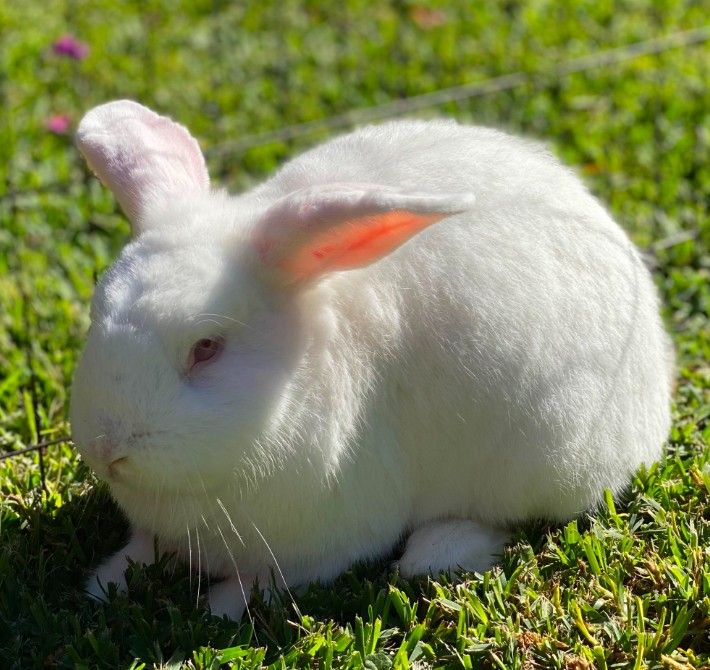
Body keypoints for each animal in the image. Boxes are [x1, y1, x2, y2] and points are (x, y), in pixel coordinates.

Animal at [70, 100, 672, 620]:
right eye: (97, 308)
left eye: (206, 348)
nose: (106, 448)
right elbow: (142, 549)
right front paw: (104, 582)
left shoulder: (328, 541)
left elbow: (264, 580)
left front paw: (218, 608)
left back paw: (436, 551)